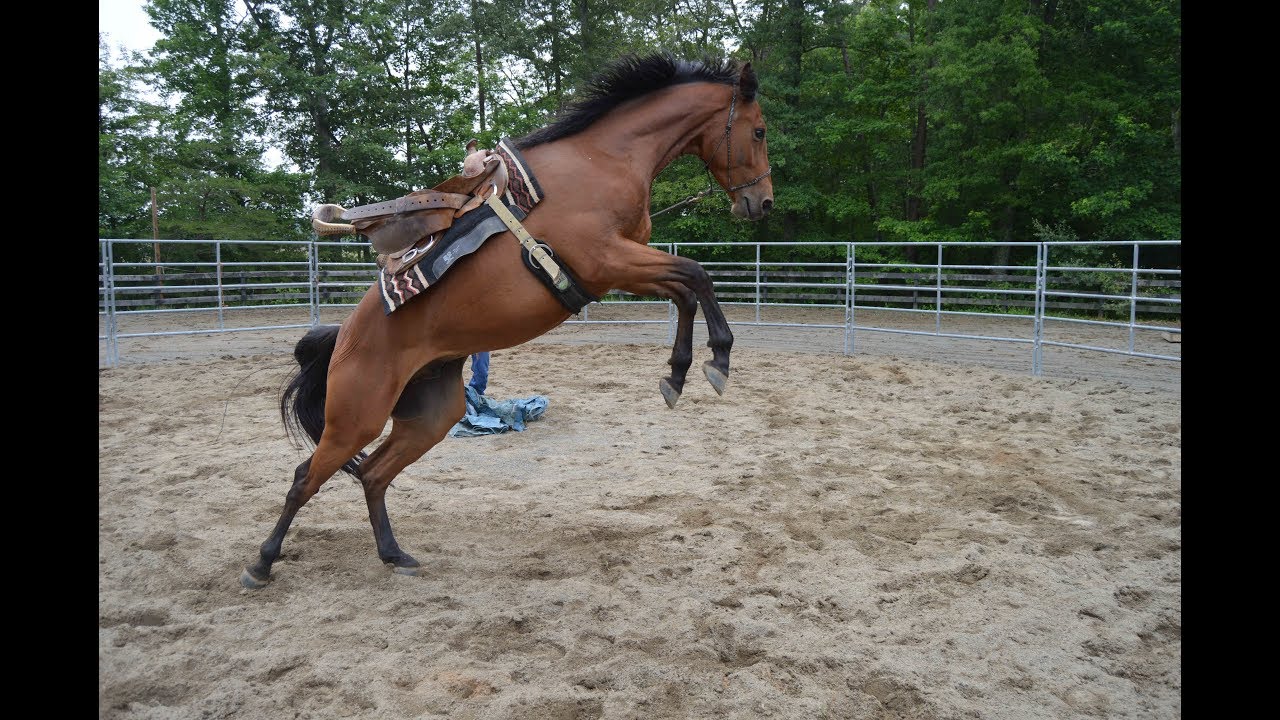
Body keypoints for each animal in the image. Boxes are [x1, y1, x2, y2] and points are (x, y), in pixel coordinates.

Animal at [241, 53, 774, 588]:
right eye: (759, 131)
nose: (763, 203)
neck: (601, 161)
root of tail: (345, 337)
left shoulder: (620, 269)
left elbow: (687, 289)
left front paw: (680, 373)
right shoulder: (608, 261)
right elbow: (696, 276)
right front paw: (717, 359)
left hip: (429, 416)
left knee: (373, 473)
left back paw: (394, 554)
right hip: (355, 418)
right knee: (305, 478)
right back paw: (261, 563)